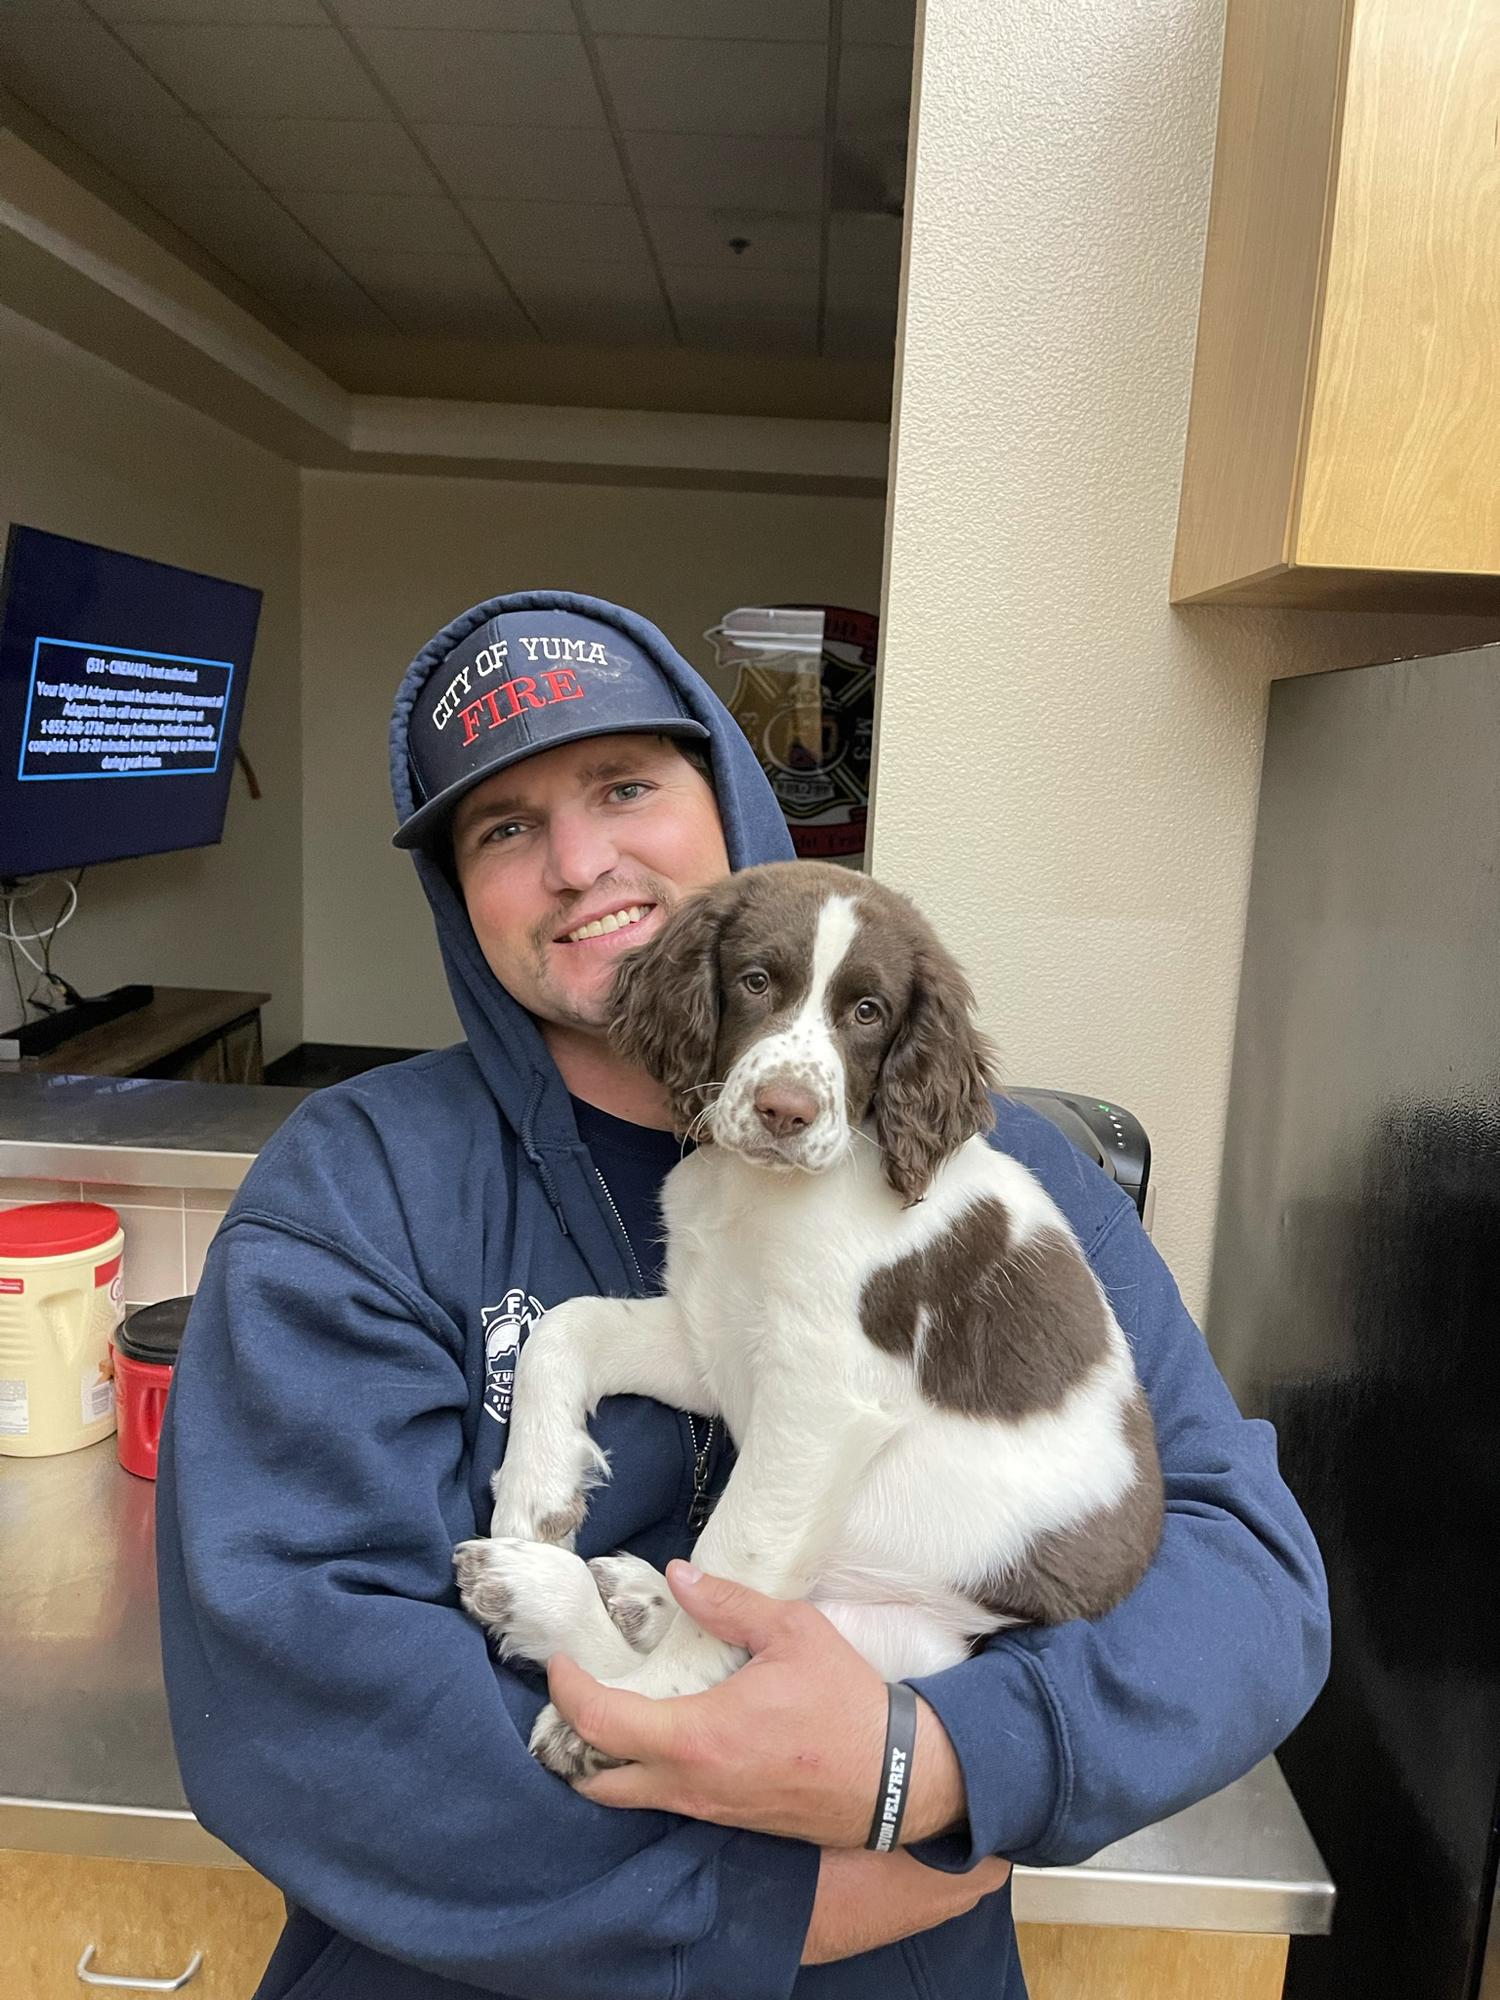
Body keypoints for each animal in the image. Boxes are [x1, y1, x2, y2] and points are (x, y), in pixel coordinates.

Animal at [456, 860, 1160, 1784]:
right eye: (757, 981)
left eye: (869, 1012)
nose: (785, 1111)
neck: (767, 1192)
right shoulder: (711, 1334)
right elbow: (563, 1327)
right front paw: (536, 1496)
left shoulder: (822, 1398)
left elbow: (732, 1561)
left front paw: (645, 1711)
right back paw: (621, 1592)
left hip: (899, 1635)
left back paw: (556, 1608)